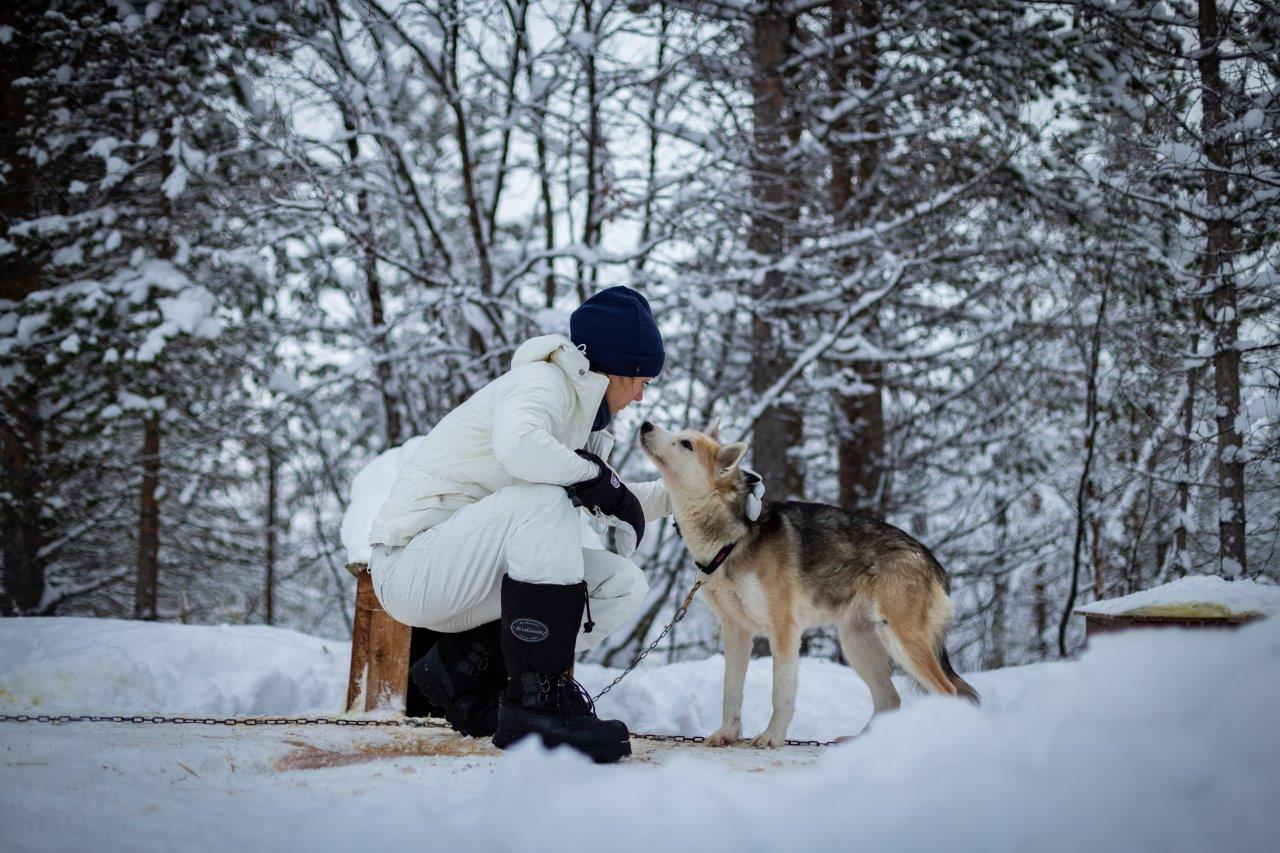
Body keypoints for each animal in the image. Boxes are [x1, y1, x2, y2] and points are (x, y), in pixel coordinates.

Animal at [634, 417, 972, 742]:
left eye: (686, 443)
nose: (646, 425)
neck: (733, 539)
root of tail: (930, 558)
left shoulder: (784, 631)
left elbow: (780, 695)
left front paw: (772, 737)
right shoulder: (736, 632)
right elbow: (731, 694)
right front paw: (726, 735)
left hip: (900, 640)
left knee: (949, 692)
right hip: (858, 644)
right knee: (890, 700)